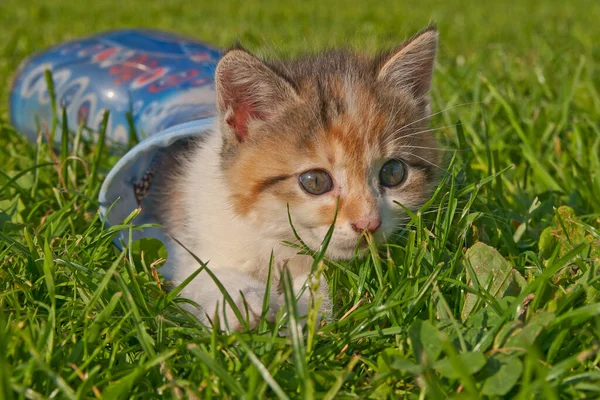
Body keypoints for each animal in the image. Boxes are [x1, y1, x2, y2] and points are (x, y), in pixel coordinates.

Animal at [148, 26, 442, 330]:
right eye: (315, 182)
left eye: (393, 173)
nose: (368, 224)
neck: (279, 237)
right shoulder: (194, 244)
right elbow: (204, 277)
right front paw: (241, 305)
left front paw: (302, 311)